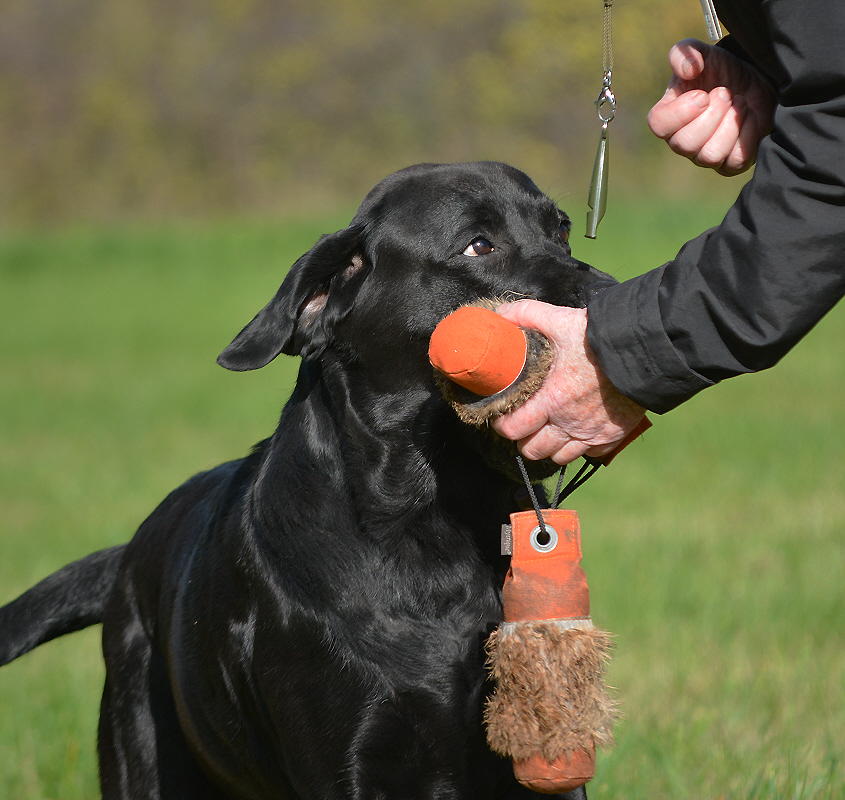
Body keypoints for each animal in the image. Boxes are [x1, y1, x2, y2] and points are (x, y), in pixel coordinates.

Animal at [0, 162, 612, 800]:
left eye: (562, 230)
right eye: (479, 245)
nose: (608, 297)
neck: (432, 523)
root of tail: (128, 558)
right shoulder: (346, 761)